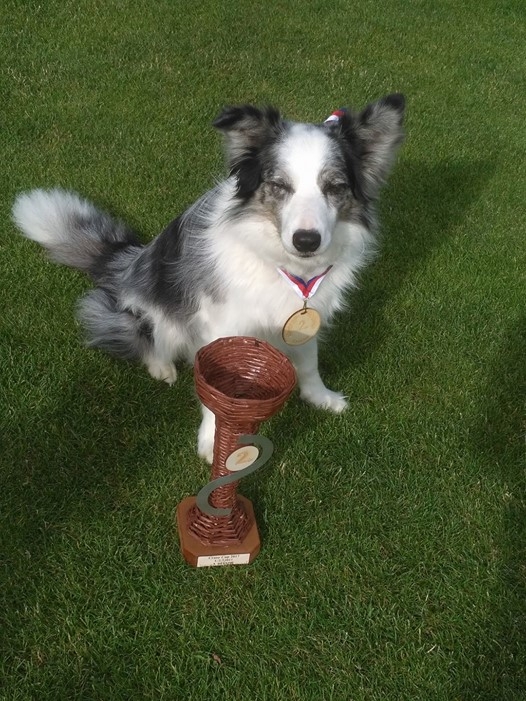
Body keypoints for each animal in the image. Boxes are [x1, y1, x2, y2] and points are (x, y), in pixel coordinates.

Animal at [12, 95, 405, 461]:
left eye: (335, 187)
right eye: (279, 185)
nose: (306, 240)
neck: (282, 263)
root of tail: (125, 263)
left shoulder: (304, 314)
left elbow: (309, 361)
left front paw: (320, 397)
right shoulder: (223, 326)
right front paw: (214, 442)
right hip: (153, 313)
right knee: (145, 338)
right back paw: (162, 367)